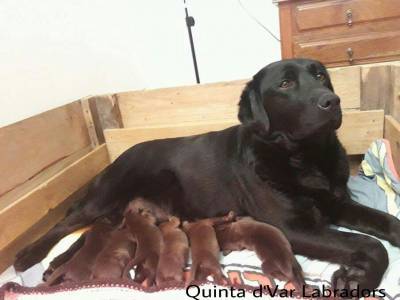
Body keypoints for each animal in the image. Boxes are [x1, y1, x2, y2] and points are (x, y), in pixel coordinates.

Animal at [14, 57, 398, 290]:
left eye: (320, 75)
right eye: (286, 84)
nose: (331, 101)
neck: (305, 157)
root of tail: (118, 156)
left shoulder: (337, 203)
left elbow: (383, 223)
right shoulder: (292, 226)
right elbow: (370, 243)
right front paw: (356, 278)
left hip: (117, 212)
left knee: (92, 231)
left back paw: (57, 263)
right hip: (107, 194)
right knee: (66, 223)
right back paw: (28, 256)